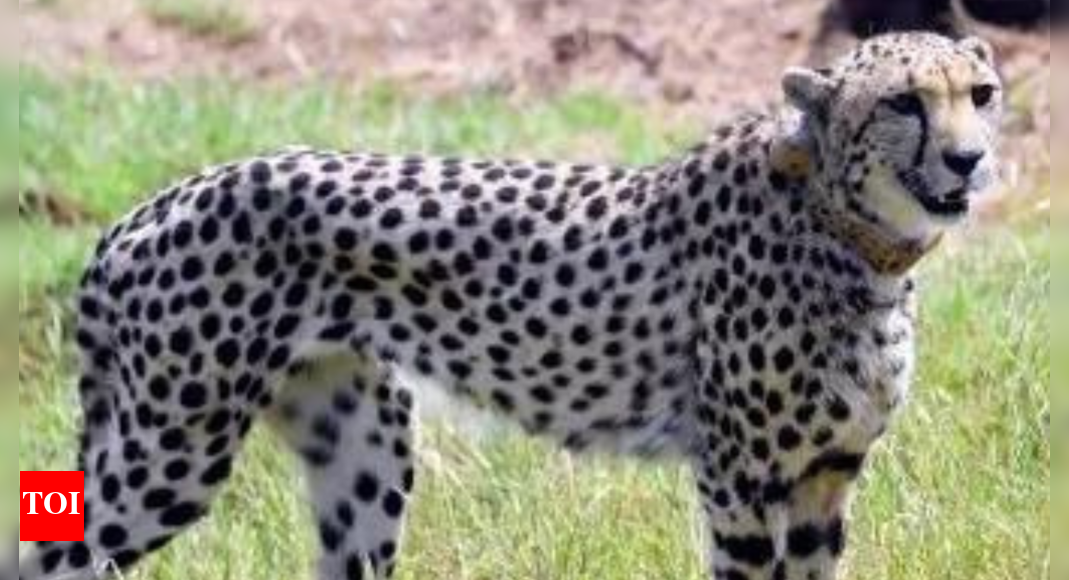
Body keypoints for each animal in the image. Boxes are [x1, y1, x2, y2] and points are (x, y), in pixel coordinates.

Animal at [19, 32, 1002, 580]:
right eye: (903, 102)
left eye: (980, 95)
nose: (968, 159)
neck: (854, 235)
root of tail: (151, 204)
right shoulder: (741, 477)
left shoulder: (825, 475)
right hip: (172, 449)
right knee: (52, 556)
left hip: (363, 454)